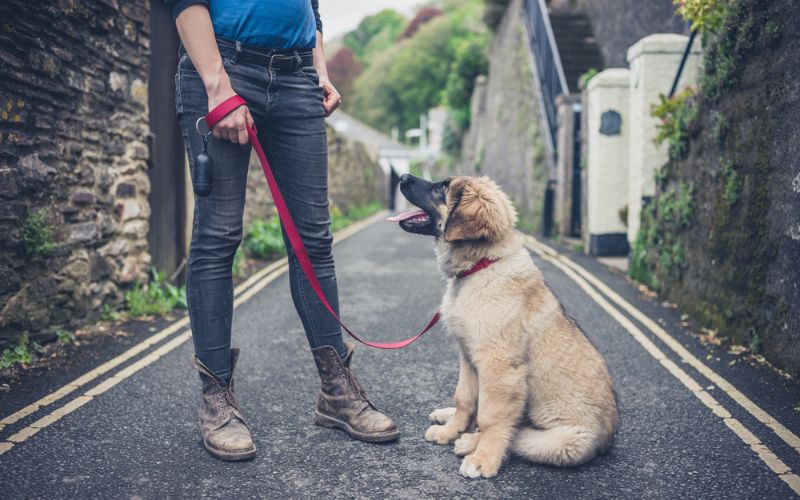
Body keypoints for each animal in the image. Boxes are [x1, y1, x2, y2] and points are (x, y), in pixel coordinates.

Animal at [392, 174, 620, 478]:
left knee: (516, 432)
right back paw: (450, 421)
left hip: (562, 441)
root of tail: (608, 440)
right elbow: (464, 399)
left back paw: (470, 443)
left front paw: (483, 459)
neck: (481, 266)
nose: (403, 177)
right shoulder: (468, 357)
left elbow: (491, 417)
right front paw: (450, 431)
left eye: (441, 188)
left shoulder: (498, 366)